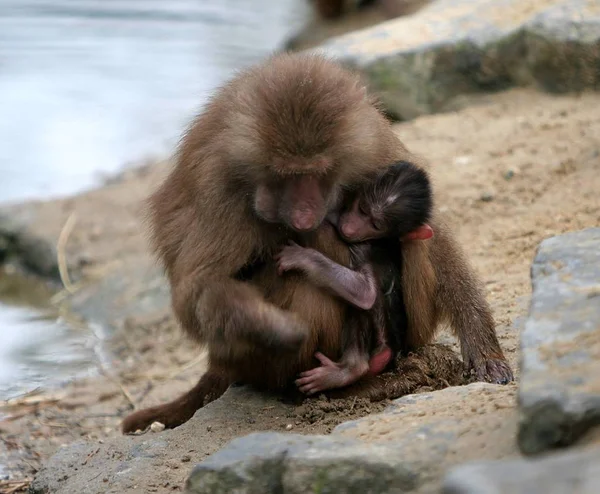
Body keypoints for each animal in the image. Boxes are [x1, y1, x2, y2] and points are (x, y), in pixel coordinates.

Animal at [274, 160, 434, 396]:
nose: (349, 228)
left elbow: (366, 294)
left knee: (365, 304)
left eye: (376, 225)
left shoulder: (368, 249)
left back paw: (350, 369)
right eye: (362, 209)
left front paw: (300, 257)